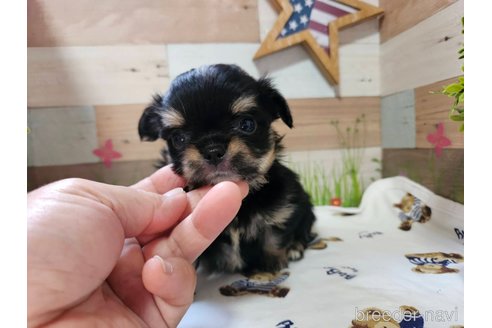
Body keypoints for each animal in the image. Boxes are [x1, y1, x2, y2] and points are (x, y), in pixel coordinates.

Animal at [138, 64, 316, 274]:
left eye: (247, 124)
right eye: (178, 138)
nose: (213, 150)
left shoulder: (284, 207)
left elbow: (275, 236)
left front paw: (272, 263)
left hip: (307, 207)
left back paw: (295, 247)